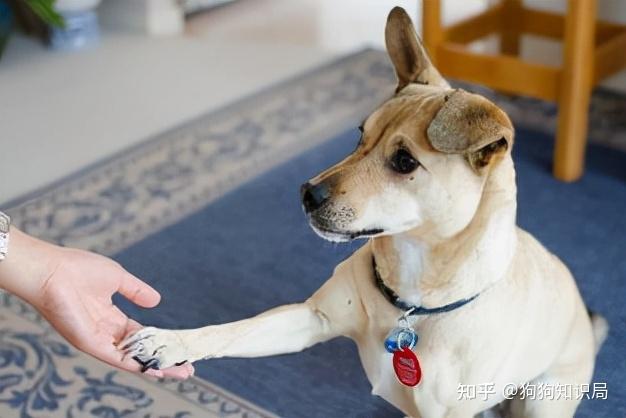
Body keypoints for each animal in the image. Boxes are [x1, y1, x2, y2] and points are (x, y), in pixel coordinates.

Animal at [120, 7, 604, 418]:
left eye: (405, 161)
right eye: (359, 135)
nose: (307, 193)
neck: (410, 301)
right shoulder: (309, 319)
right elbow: (232, 330)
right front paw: (169, 342)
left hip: (542, 398)